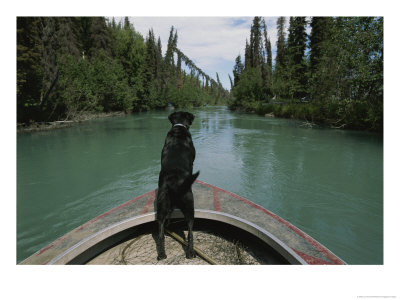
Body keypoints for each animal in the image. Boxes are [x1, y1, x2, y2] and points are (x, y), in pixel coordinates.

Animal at [156, 111, 200, 258]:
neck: (179, 128)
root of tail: (174, 184)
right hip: (189, 205)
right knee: (191, 232)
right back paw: (191, 252)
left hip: (162, 206)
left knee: (160, 233)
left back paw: (162, 254)